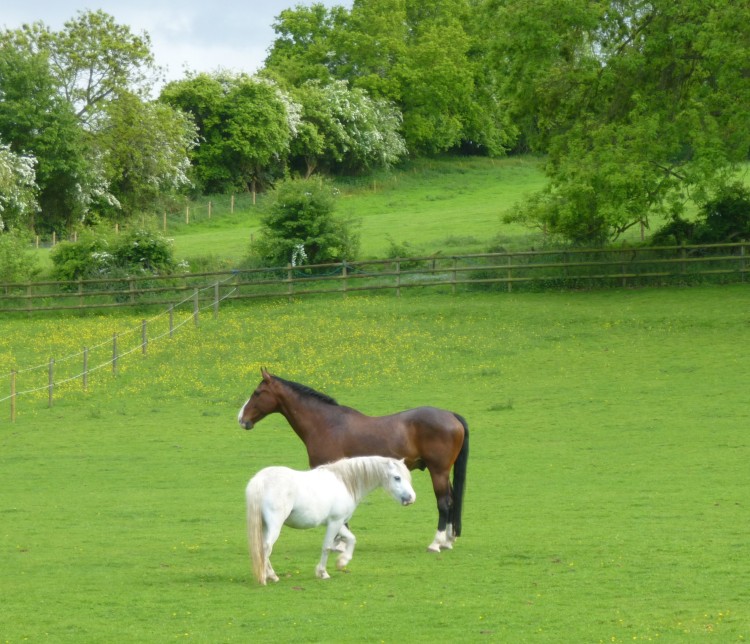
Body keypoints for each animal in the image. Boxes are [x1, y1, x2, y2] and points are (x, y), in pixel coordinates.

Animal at [239, 370, 470, 552]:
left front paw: (338, 543)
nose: (241, 419)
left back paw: (436, 543)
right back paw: (448, 540)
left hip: (438, 471)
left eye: (257, 393)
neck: (326, 424)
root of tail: (451, 415)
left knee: (444, 503)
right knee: (452, 499)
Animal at [247, 456, 418, 588]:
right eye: (397, 477)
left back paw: (272, 576)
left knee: (262, 549)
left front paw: (342, 562)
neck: (345, 482)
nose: (411, 498)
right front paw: (323, 572)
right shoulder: (335, 522)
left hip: (265, 526)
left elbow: (351, 539)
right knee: (266, 548)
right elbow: (327, 547)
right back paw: (266, 577)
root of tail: (260, 480)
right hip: (275, 526)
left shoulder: (338, 522)